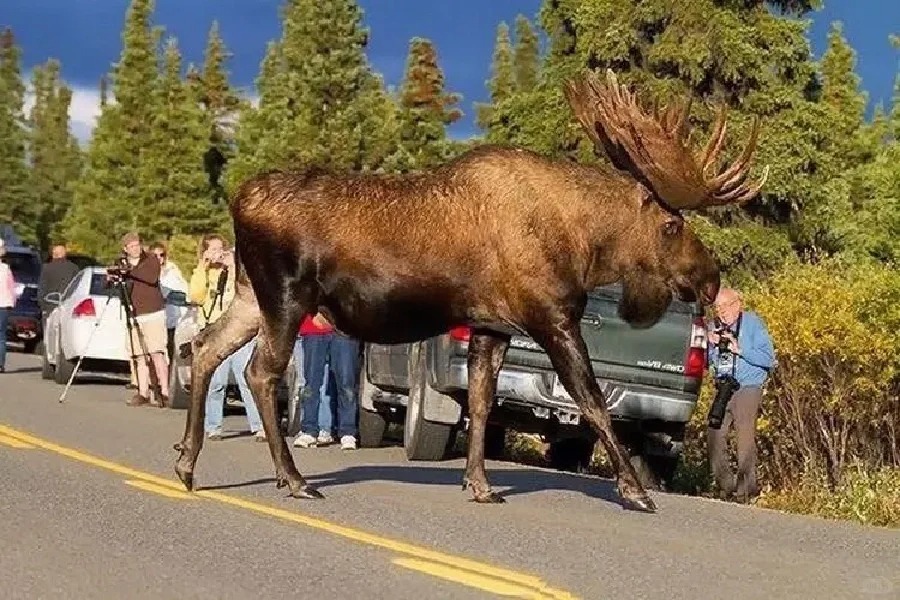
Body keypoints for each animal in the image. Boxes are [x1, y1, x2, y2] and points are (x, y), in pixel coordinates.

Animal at [174, 69, 768, 510]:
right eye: (670, 226)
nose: (710, 278)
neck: (583, 243)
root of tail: (239, 200)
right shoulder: (552, 316)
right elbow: (593, 401)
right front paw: (636, 490)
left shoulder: (491, 325)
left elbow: (482, 404)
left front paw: (479, 484)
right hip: (288, 297)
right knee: (259, 372)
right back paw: (292, 479)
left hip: (250, 295)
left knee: (204, 347)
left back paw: (186, 462)